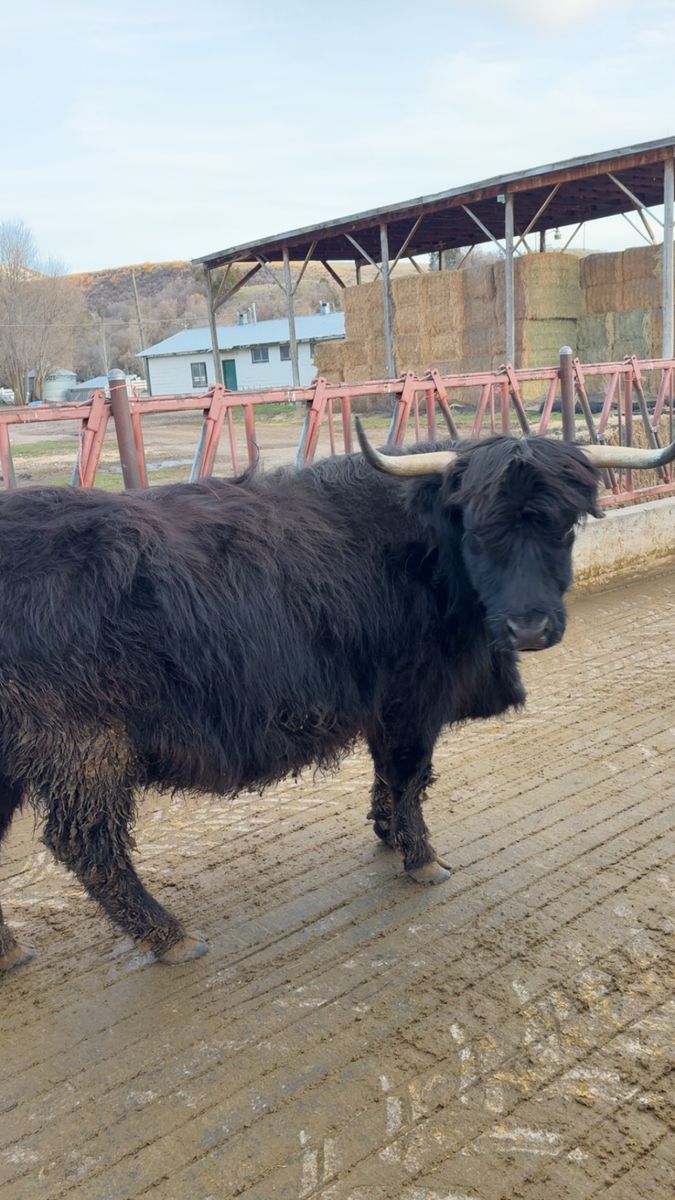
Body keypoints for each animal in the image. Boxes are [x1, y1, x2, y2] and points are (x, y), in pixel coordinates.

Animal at [1, 424, 673, 971]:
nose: (529, 628)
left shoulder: (387, 703)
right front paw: (422, 858)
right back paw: (170, 937)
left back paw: (12, 951)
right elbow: (409, 776)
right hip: (85, 747)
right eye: (481, 530)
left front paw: (386, 832)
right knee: (89, 845)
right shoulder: (414, 698)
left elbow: (391, 777)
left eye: (564, 525)